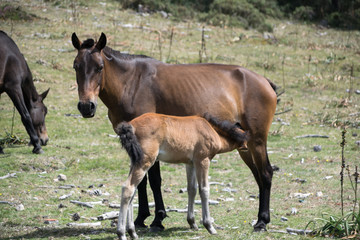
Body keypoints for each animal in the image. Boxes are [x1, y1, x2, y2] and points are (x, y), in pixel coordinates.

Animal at [115, 113, 248, 239]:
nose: (247, 149)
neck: (211, 129)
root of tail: (130, 126)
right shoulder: (202, 160)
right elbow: (204, 190)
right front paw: (209, 226)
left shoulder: (190, 164)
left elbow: (192, 189)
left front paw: (192, 223)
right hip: (145, 161)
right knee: (128, 188)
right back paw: (121, 233)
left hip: (135, 161)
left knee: (133, 191)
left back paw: (132, 232)